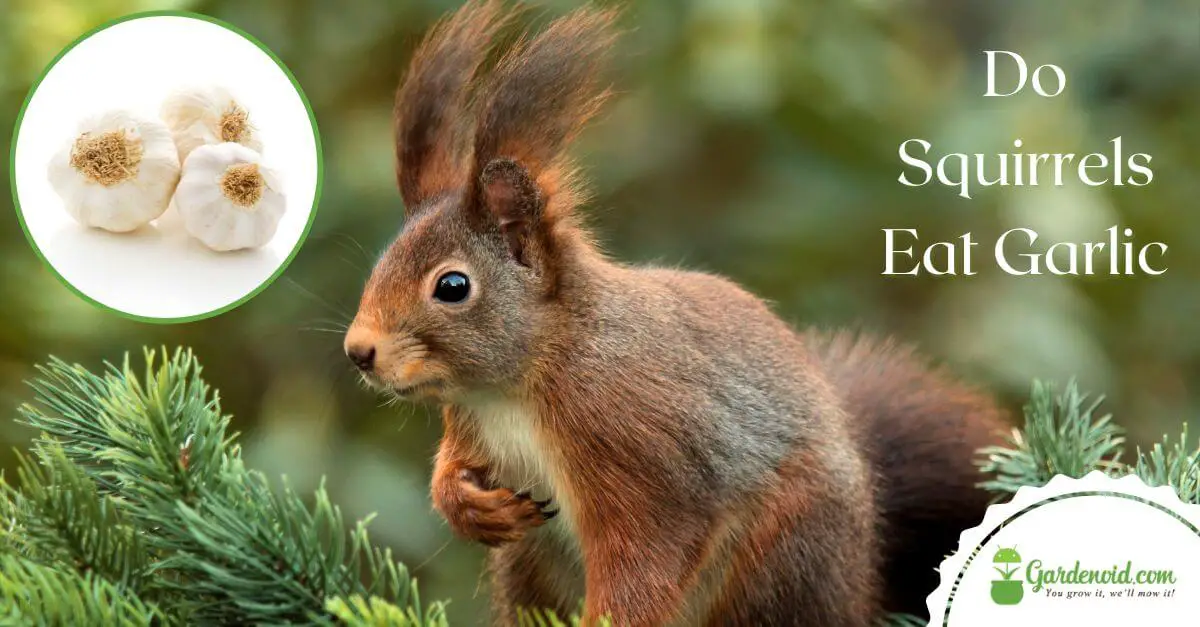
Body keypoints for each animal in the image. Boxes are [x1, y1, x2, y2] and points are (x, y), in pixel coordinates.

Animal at [343, 2, 1005, 625]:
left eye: (453, 286)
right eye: (382, 261)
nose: (359, 352)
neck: (518, 384)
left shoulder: (637, 448)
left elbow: (645, 562)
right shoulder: (470, 424)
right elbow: (451, 470)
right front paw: (466, 504)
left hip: (780, 553)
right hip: (529, 564)